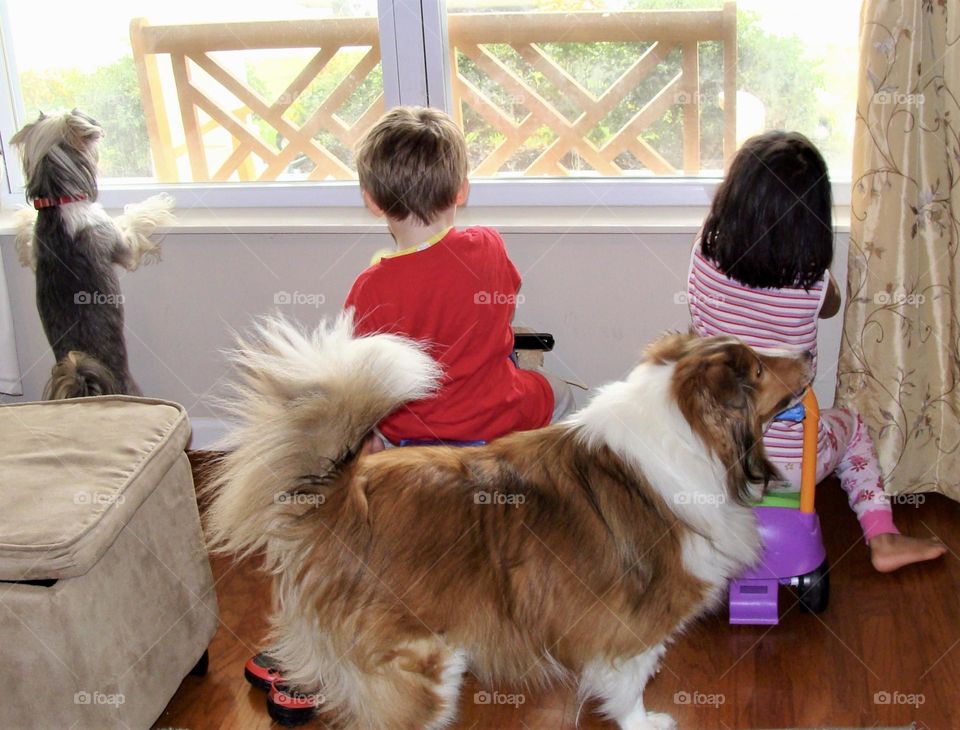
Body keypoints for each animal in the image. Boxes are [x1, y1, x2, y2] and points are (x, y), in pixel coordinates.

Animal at [11, 109, 174, 398]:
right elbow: (133, 221)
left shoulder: (37, 249)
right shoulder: (120, 244)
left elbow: (28, 241)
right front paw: (156, 205)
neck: (58, 201)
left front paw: (21, 218)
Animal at [208, 318, 808, 728]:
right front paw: (646, 722)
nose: (805, 352)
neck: (687, 431)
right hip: (424, 666)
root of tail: (337, 494)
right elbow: (632, 682)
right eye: (757, 369)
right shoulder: (635, 626)